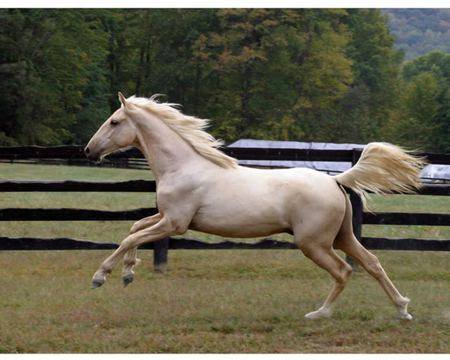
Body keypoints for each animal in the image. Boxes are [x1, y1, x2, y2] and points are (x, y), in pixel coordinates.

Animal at [85, 93, 426, 320]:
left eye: (114, 121)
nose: (89, 150)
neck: (182, 166)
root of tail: (335, 180)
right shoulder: (166, 217)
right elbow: (135, 228)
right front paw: (128, 273)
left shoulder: (175, 223)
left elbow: (130, 236)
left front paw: (101, 277)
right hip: (342, 237)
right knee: (372, 263)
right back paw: (403, 309)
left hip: (314, 243)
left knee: (343, 271)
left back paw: (319, 314)